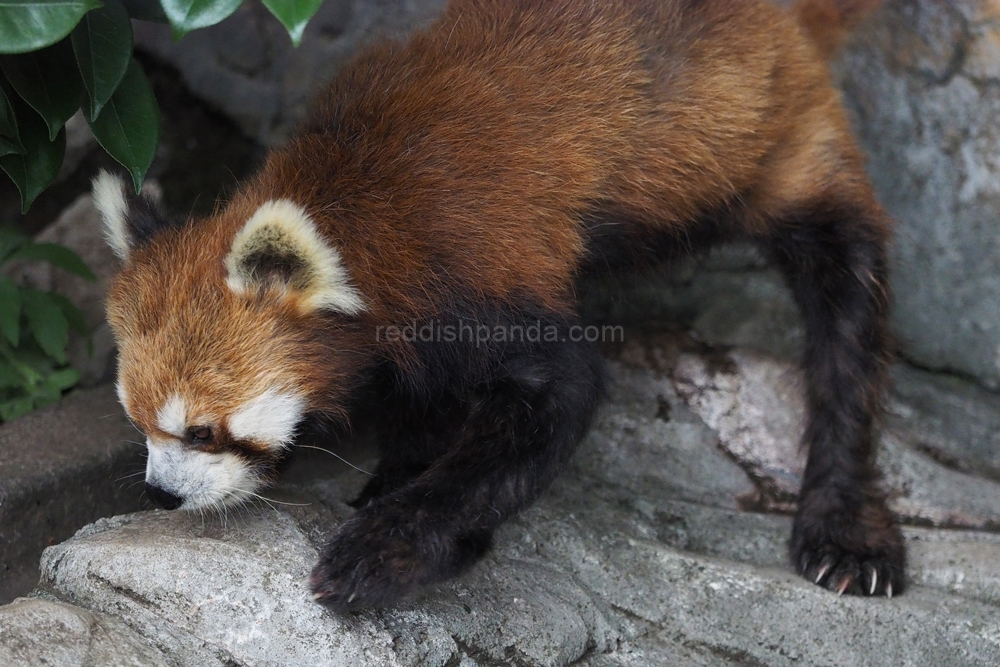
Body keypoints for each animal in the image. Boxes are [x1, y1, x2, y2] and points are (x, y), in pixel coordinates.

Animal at [97, 0, 904, 612]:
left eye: (202, 431)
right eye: (136, 422)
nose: (161, 494)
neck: (358, 209)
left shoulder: (468, 278)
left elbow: (554, 400)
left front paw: (384, 550)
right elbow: (421, 403)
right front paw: (398, 469)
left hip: (776, 139)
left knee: (848, 314)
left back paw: (847, 528)